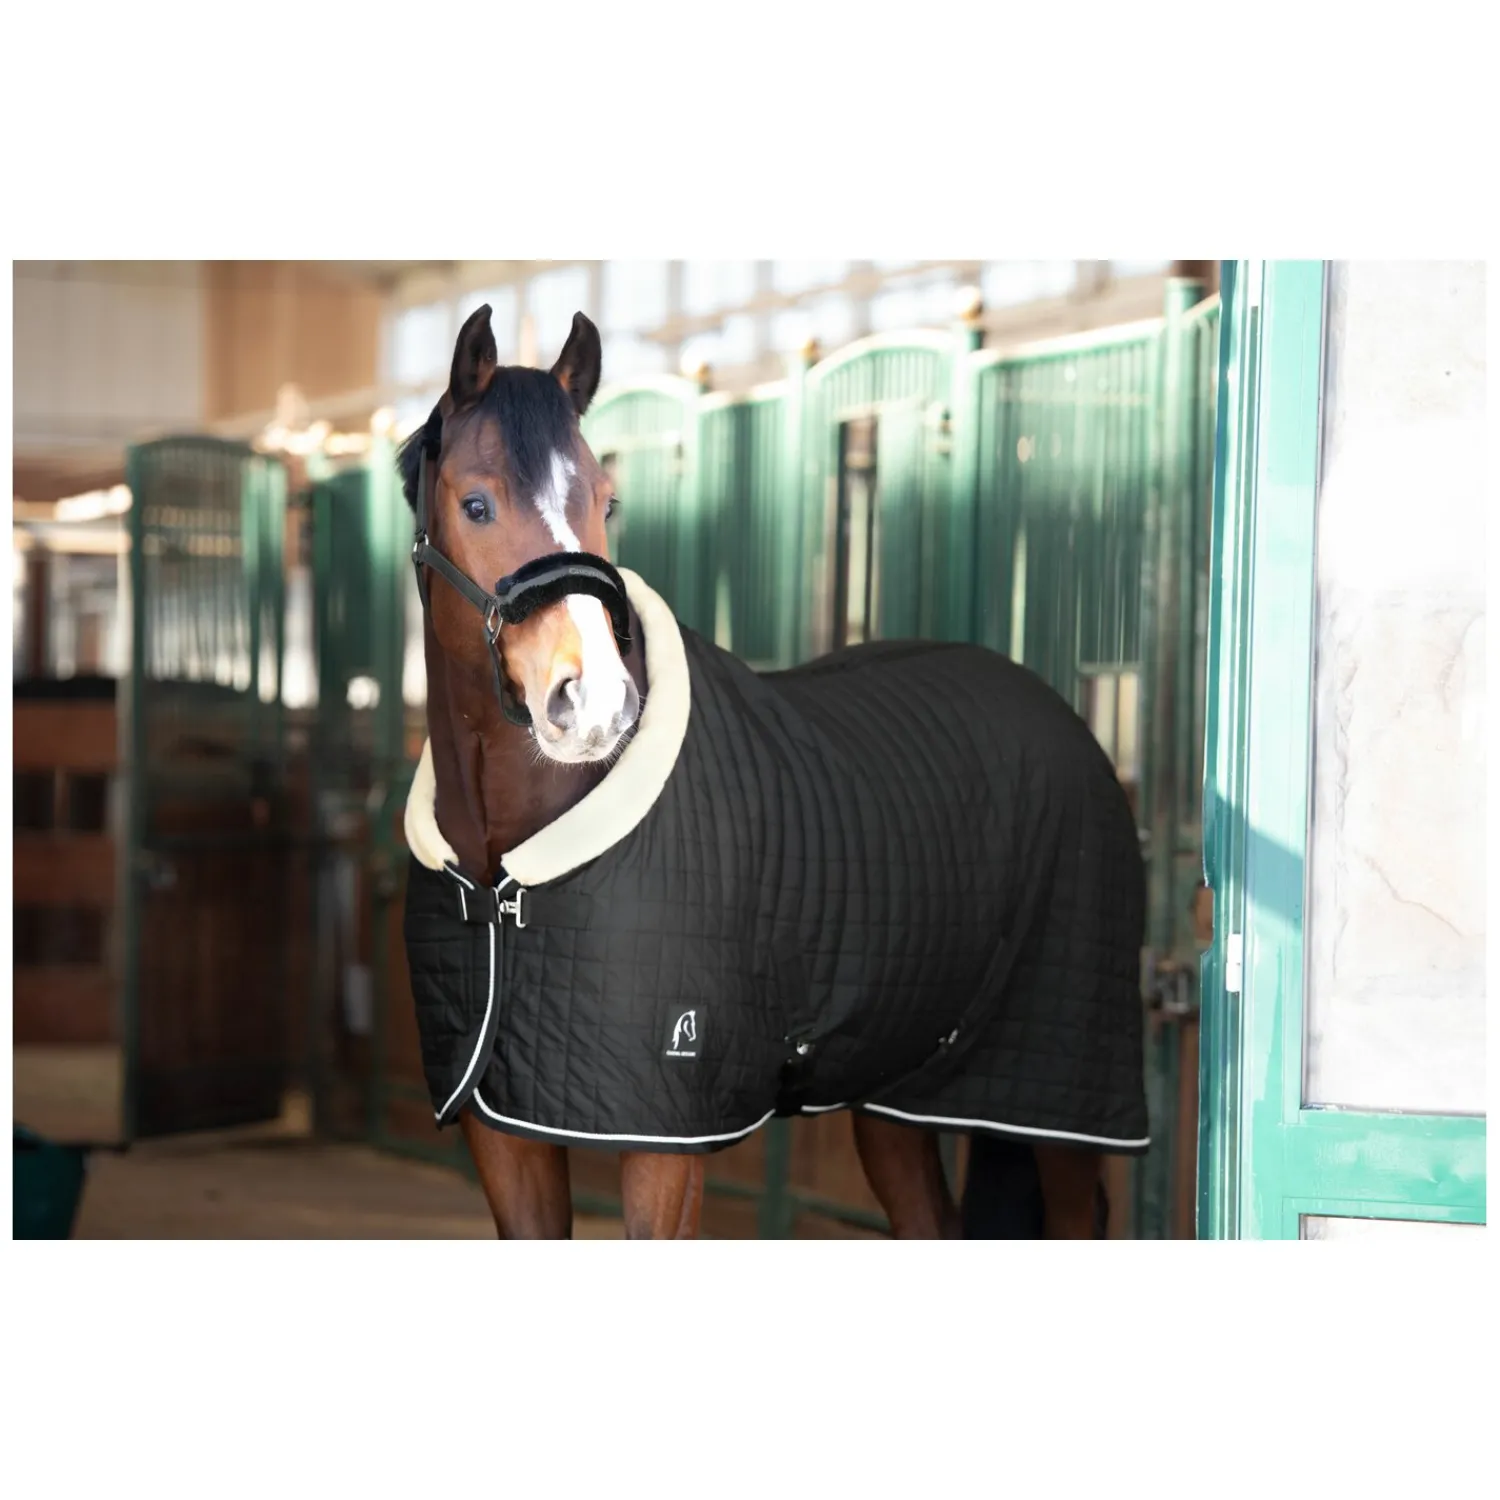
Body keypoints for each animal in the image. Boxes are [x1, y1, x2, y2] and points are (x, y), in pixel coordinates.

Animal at [395, 302, 1148, 1239]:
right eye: (476, 503)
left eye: (606, 499)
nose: (594, 702)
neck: (510, 881)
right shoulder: (501, 1132)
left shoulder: (667, 1141)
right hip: (895, 1091)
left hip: (1058, 1099)